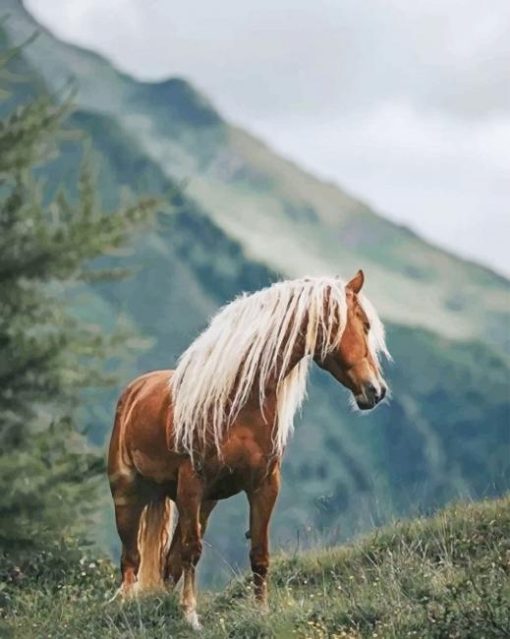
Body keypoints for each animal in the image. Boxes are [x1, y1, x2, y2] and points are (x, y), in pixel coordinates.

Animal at [106, 272, 386, 632]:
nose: (376, 391)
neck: (239, 403)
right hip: (129, 494)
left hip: (199, 504)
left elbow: (258, 554)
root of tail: (135, 390)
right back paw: (127, 606)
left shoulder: (264, 486)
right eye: (364, 324)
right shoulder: (192, 483)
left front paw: (261, 612)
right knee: (131, 560)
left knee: (168, 562)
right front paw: (191, 615)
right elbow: (192, 551)